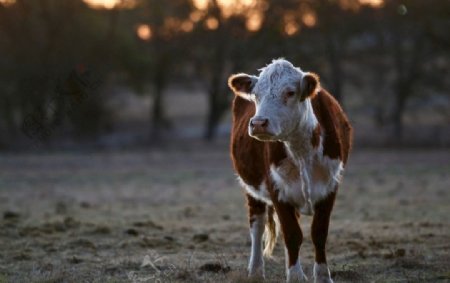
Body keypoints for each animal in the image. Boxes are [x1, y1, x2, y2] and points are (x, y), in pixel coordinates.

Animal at [229, 58, 352, 282]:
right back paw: (256, 271)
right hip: (251, 187)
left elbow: (319, 233)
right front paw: (295, 276)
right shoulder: (277, 190)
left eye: (290, 92)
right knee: (257, 225)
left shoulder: (330, 187)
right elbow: (292, 234)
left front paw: (322, 275)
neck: (302, 150)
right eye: (256, 94)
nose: (258, 123)